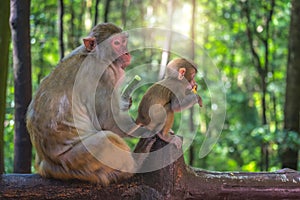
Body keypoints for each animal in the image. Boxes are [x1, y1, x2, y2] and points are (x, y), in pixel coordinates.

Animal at [26, 22, 155, 185]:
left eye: (124, 41)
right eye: (116, 43)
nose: (126, 53)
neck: (94, 55)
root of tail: (47, 167)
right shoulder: (104, 76)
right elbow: (110, 124)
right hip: (75, 161)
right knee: (106, 139)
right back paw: (137, 164)